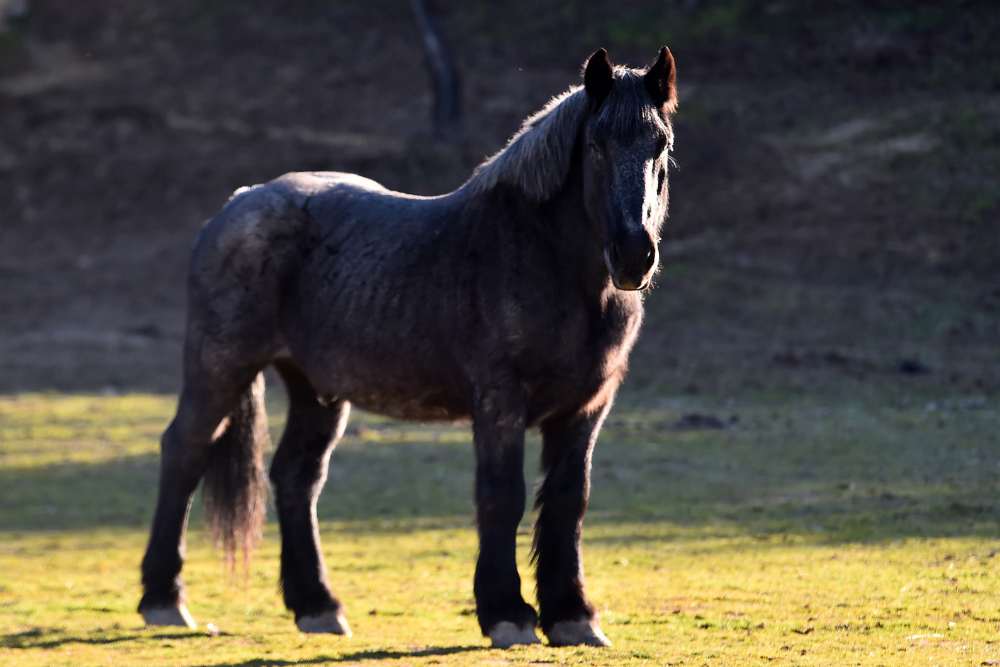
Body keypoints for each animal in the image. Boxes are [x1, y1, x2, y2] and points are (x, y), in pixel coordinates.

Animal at [139, 45, 680, 648]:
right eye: (596, 145)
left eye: (661, 145)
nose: (634, 255)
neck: (547, 261)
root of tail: (235, 206)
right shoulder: (500, 400)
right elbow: (503, 493)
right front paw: (508, 614)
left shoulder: (586, 408)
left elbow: (568, 501)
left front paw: (573, 617)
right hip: (220, 367)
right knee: (184, 452)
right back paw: (164, 600)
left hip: (314, 390)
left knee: (296, 477)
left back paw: (317, 606)